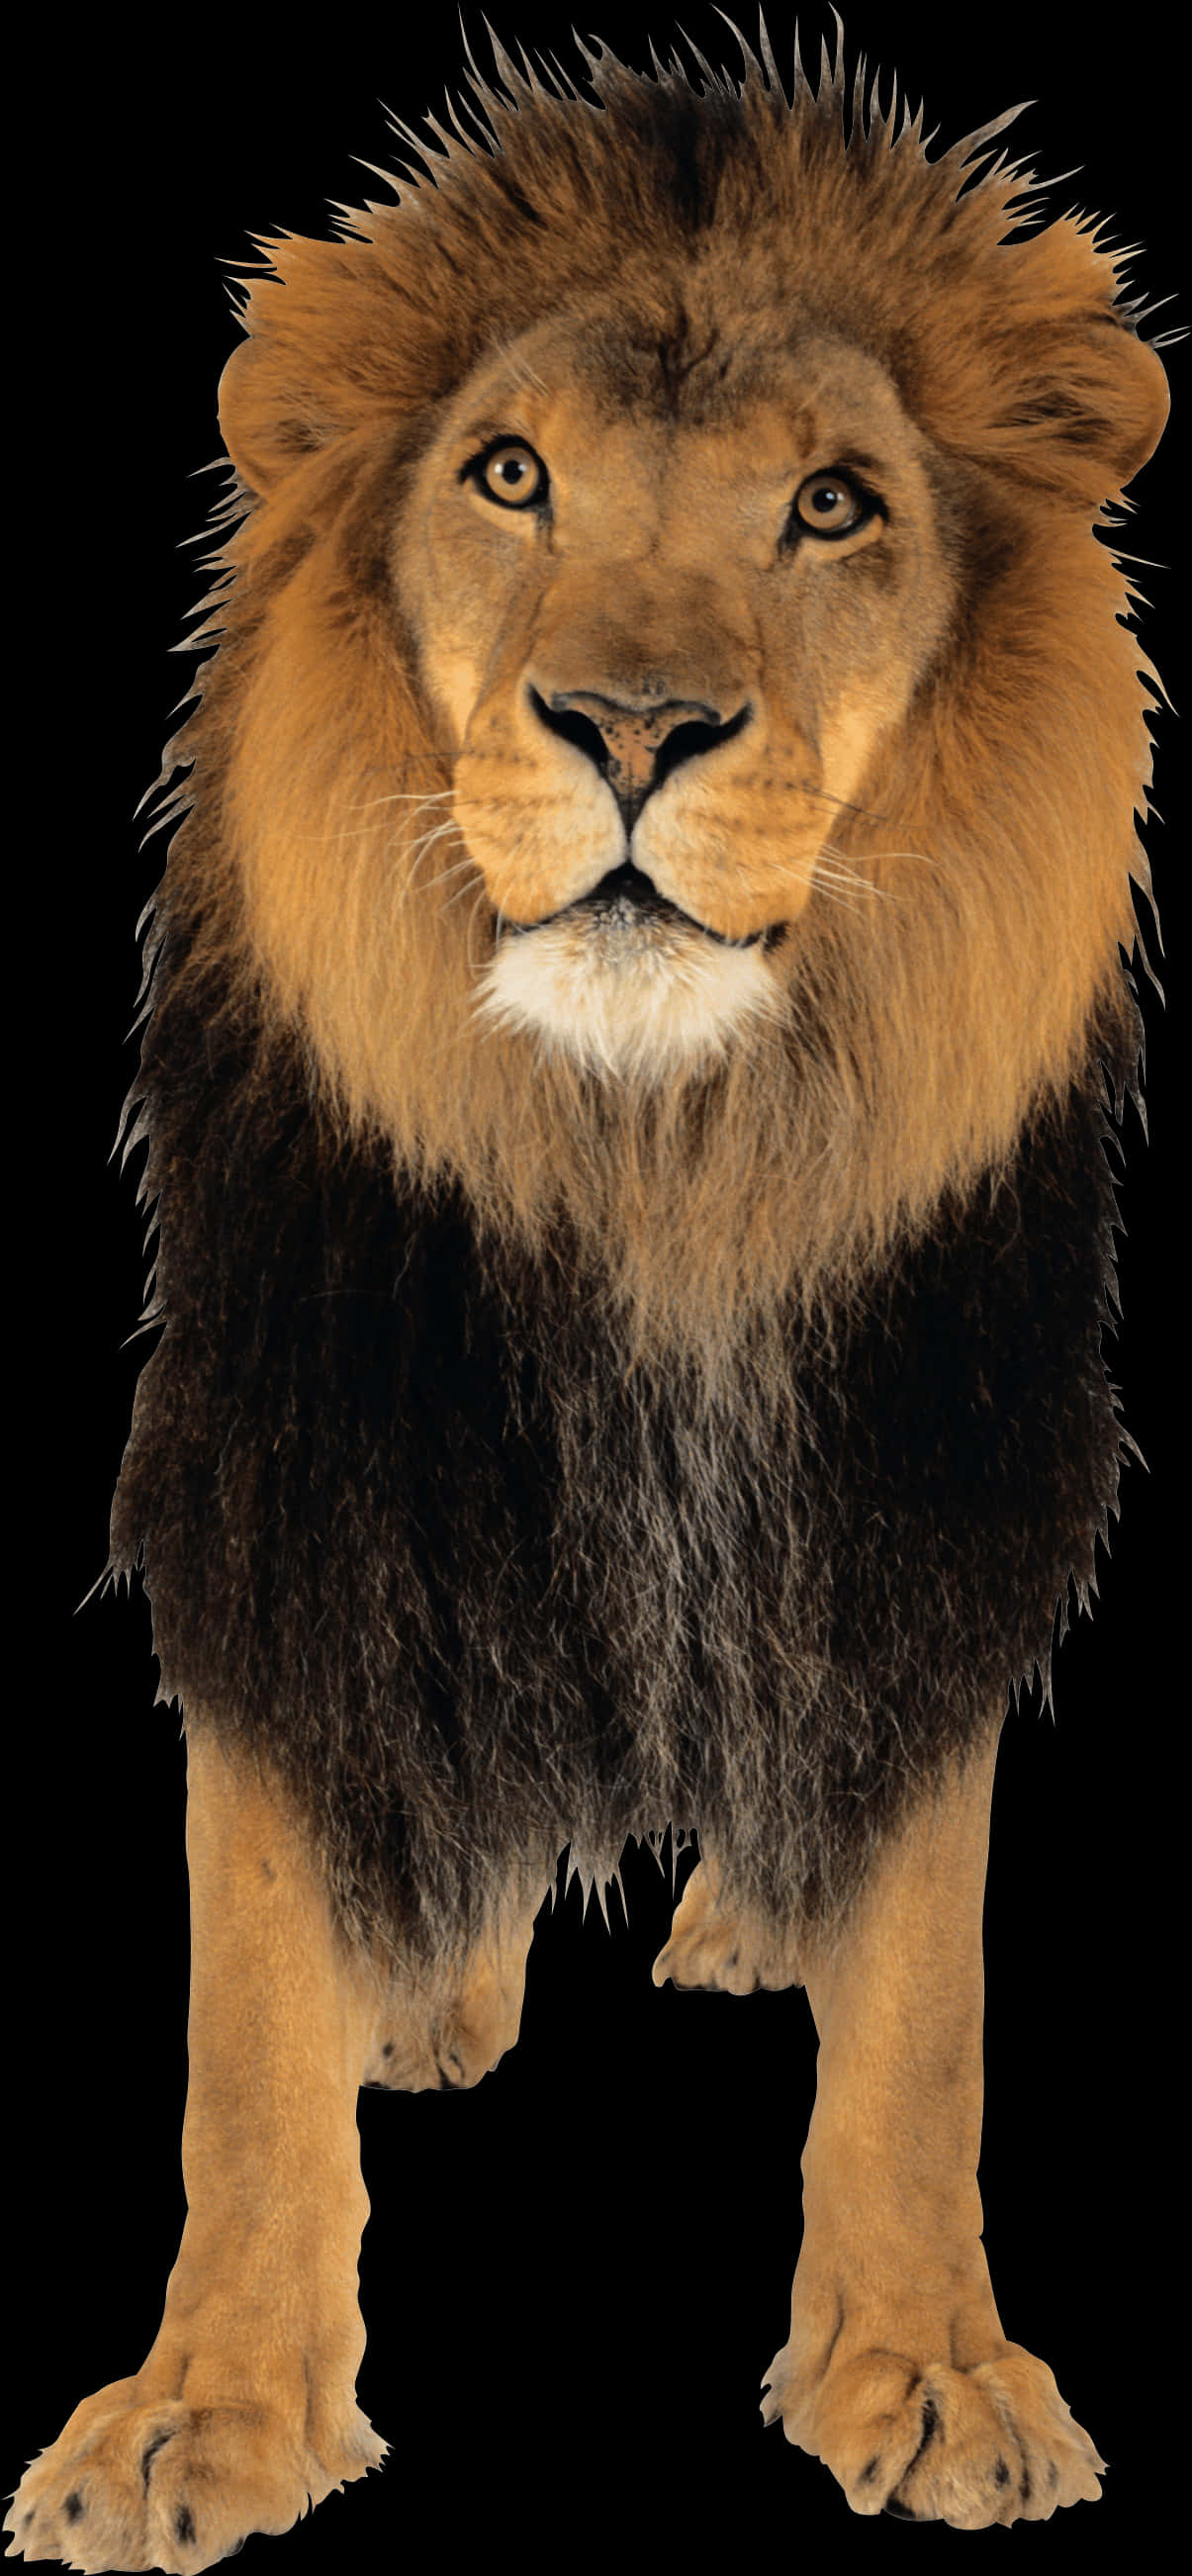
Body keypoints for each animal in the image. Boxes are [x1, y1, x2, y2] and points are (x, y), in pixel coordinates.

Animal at [8, 10, 1172, 2562]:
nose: (632, 728)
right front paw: (206, 2411)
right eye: (509, 476)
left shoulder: (908, 1466)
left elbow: (920, 2006)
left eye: (829, 505)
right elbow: (247, 2005)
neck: (653, 1152)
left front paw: (922, 2368)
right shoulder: (305, 1468)